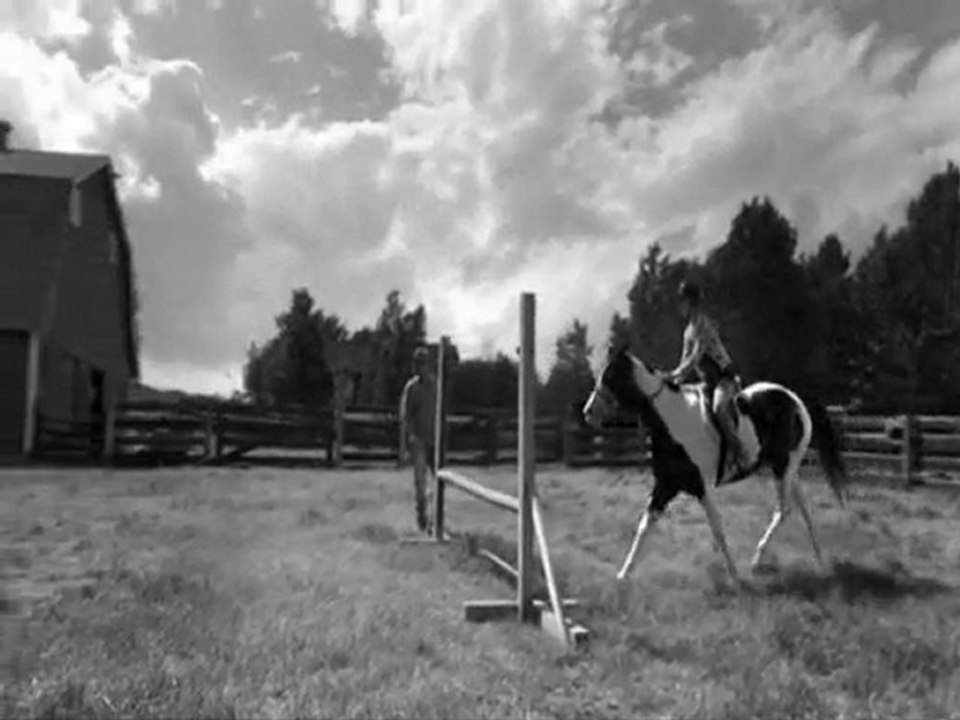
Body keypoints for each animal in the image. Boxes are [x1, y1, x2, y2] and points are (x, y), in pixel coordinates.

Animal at [581, 345, 848, 585]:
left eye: (610, 376)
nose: (588, 412)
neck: (673, 423)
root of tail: (794, 398)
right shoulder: (665, 486)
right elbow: (645, 526)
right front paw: (624, 573)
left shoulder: (703, 488)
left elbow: (717, 529)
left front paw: (735, 576)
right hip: (787, 470)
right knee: (803, 510)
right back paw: (821, 564)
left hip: (784, 467)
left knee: (783, 511)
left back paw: (757, 560)